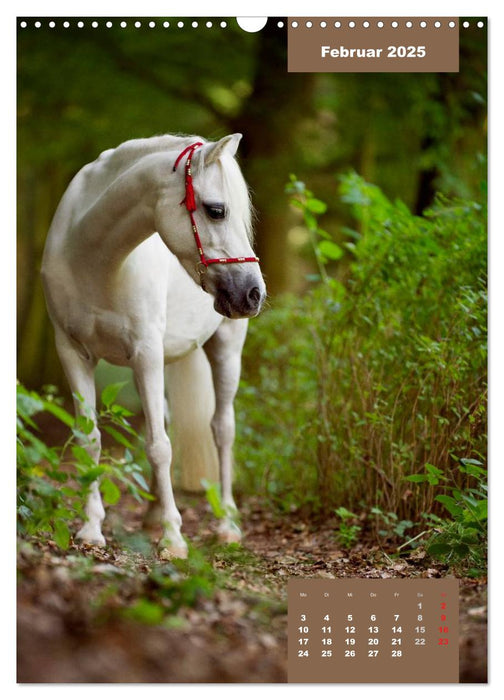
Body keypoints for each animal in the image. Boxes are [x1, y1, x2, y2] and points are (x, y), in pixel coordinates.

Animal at [41, 133, 266, 556]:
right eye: (216, 211)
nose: (253, 294)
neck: (92, 258)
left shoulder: (146, 351)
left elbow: (160, 447)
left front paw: (174, 539)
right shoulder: (72, 352)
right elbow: (90, 440)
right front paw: (91, 528)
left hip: (225, 351)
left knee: (222, 429)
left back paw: (227, 524)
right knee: (164, 421)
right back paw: (151, 516)